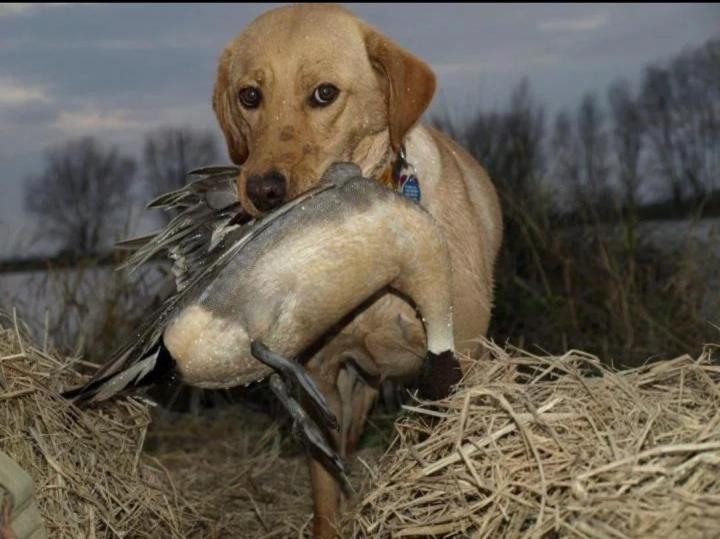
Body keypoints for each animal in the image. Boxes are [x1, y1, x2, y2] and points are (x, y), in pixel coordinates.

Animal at [212, 3, 500, 536]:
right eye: (249, 95)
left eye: (324, 94)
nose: (262, 190)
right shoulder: (320, 380)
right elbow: (326, 489)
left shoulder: (460, 362)